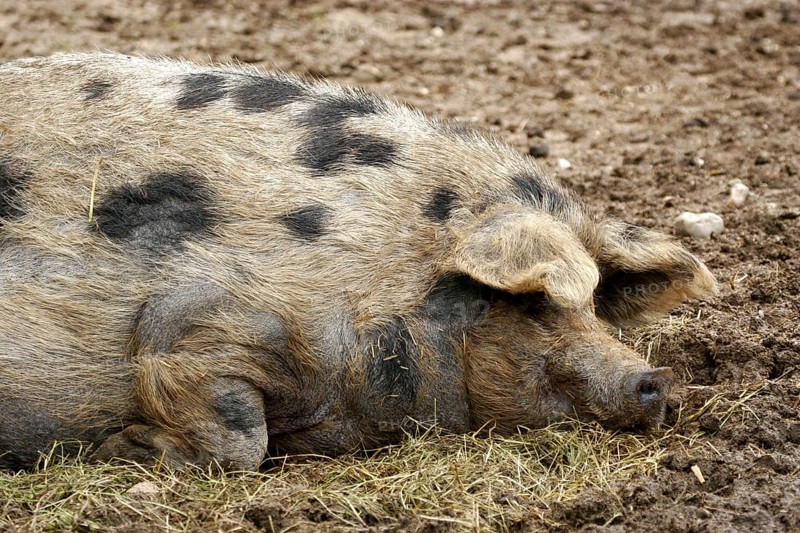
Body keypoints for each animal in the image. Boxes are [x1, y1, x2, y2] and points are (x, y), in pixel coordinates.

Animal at [0, 53, 716, 471]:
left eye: (595, 303)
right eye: (537, 300)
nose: (656, 379)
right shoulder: (200, 323)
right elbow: (239, 438)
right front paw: (120, 448)